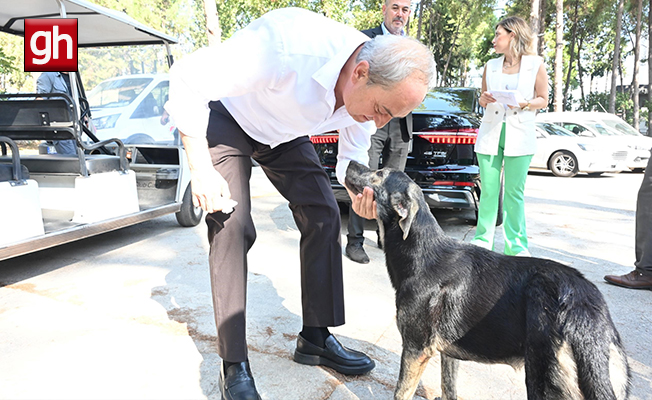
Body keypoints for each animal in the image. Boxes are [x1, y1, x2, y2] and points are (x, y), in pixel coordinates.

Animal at [344, 162, 628, 400]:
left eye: (380, 173)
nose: (349, 162)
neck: (421, 255)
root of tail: (583, 307)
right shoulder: (448, 353)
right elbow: (449, 389)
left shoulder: (416, 349)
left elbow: (401, 393)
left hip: (543, 378)